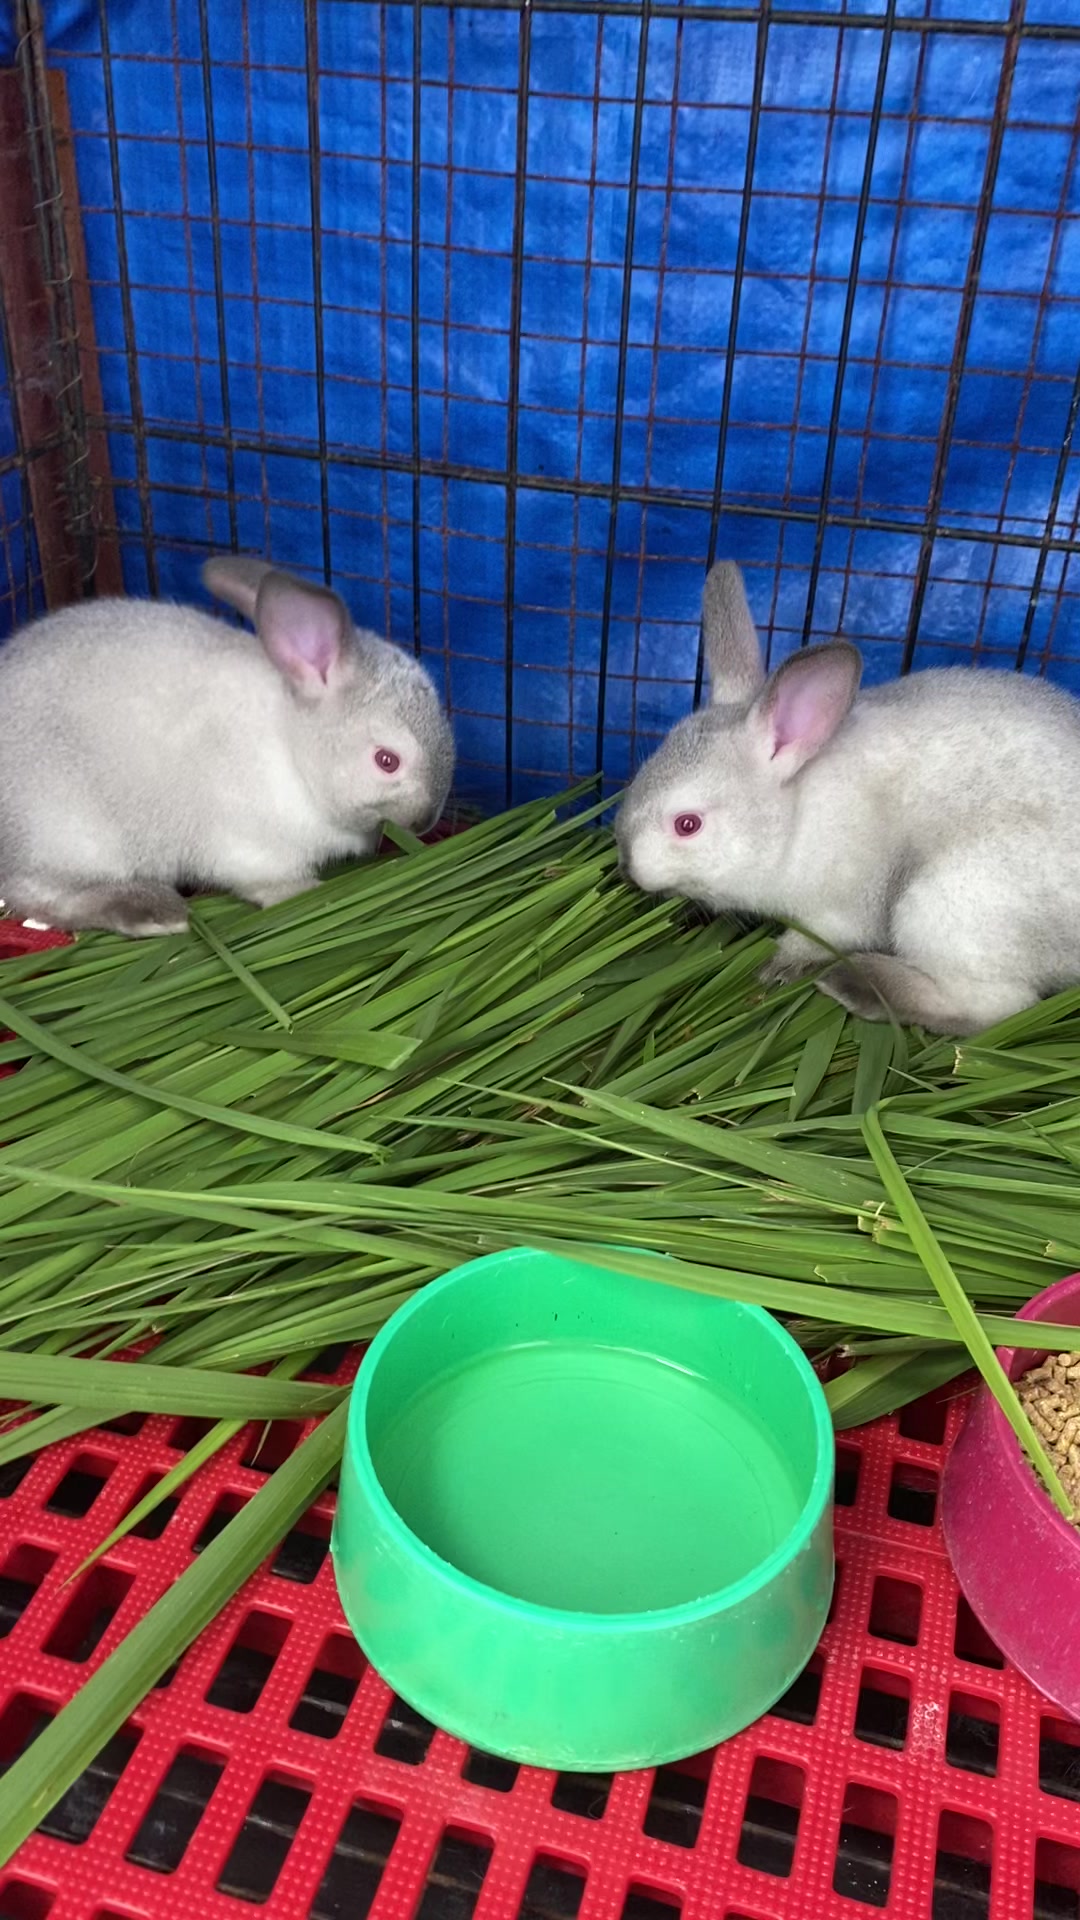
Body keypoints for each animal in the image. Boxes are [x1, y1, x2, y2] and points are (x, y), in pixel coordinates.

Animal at [0, 556, 454, 937]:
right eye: (387, 760)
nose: (426, 822)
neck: (293, 752)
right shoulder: (253, 847)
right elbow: (269, 881)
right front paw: (308, 893)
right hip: (70, 836)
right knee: (42, 896)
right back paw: (153, 913)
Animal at [614, 560, 1080, 1036]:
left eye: (687, 824)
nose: (627, 867)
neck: (794, 819)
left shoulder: (836, 914)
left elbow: (812, 941)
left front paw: (775, 969)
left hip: (948, 904)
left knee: (997, 1007)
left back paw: (856, 983)